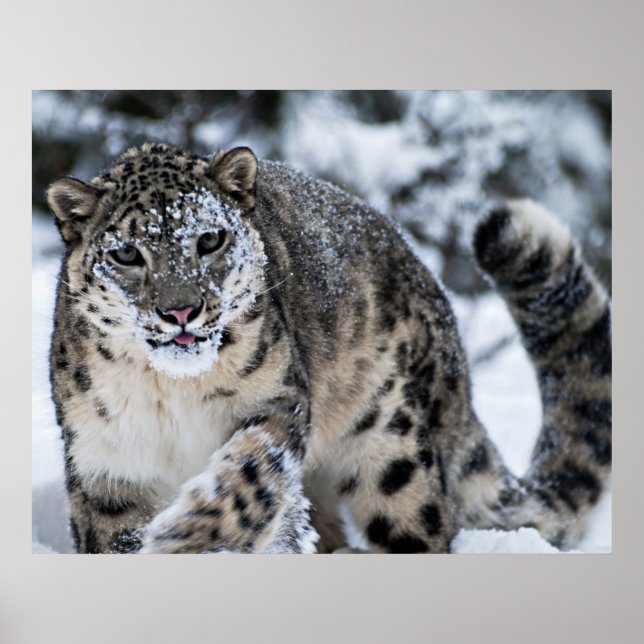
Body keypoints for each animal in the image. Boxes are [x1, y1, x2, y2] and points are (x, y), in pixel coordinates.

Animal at [46, 142, 611, 554]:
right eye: (125, 254)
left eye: (209, 240)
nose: (181, 310)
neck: (173, 392)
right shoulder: (105, 462)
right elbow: (112, 538)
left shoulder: (280, 399)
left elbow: (251, 472)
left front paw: (188, 533)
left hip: (394, 445)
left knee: (422, 527)